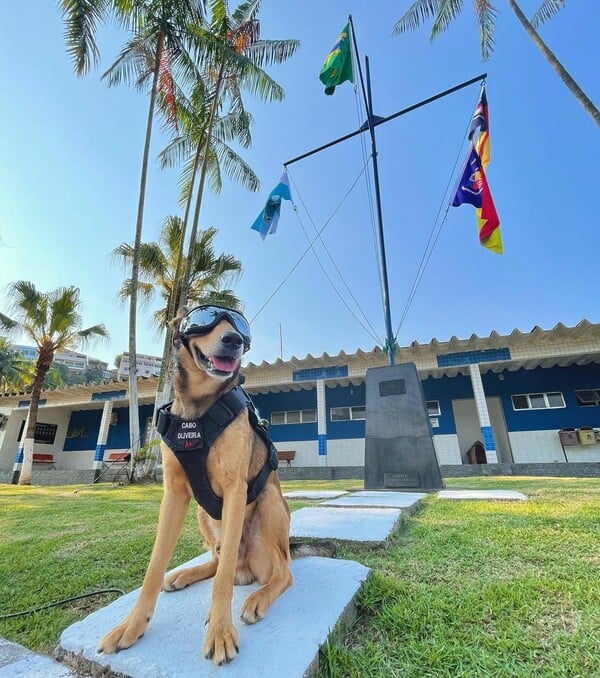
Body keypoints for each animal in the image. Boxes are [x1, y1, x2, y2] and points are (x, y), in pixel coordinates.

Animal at [96, 306, 336, 668]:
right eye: (202, 319)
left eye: (239, 325)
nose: (233, 340)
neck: (198, 407)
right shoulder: (175, 494)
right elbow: (154, 567)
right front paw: (132, 625)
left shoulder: (235, 490)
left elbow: (222, 581)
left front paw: (220, 631)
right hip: (201, 514)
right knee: (217, 559)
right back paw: (185, 574)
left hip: (269, 505)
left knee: (281, 572)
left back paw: (257, 598)